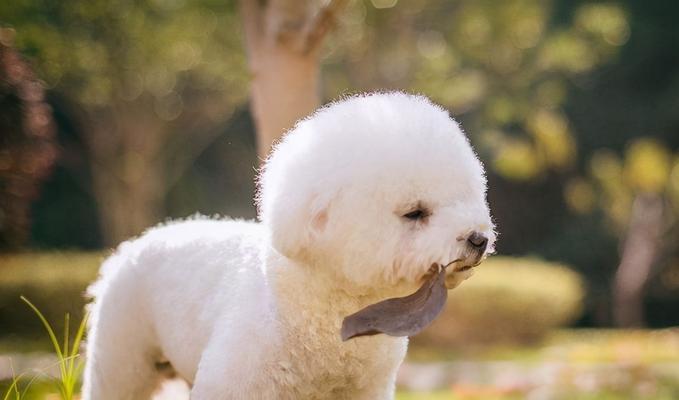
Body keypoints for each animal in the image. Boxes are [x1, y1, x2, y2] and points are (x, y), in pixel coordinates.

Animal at [82, 92, 496, 398]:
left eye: (465, 197)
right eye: (415, 213)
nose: (479, 239)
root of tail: (134, 245)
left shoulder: (365, 389)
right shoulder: (235, 383)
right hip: (121, 358)